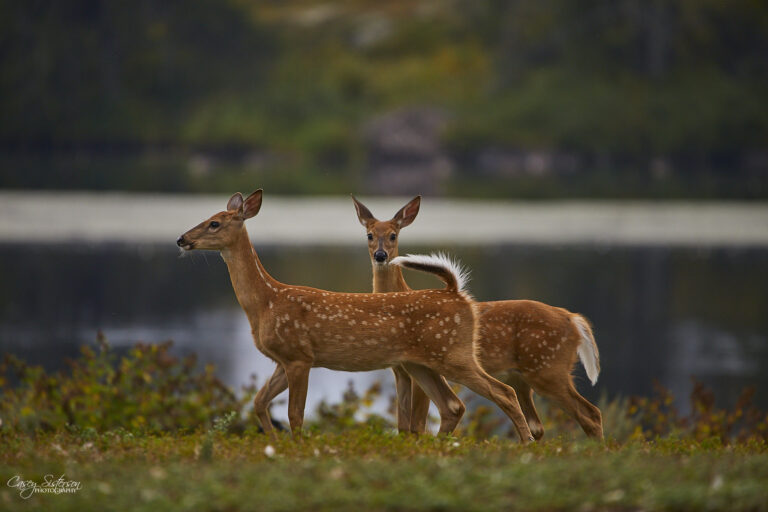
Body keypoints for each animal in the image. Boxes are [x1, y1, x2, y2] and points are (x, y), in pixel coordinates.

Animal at [176, 190, 535, 442]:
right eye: (207, 217)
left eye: (215, 223)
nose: (181, 239)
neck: (267, 301)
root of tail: (456, 292)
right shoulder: (283, 359)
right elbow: (259, 402)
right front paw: (275, 441)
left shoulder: (299, 356)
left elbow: (295, 415)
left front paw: (297, 448)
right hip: (420, 364)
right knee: (453, 405)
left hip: (454, 354)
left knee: (504, 392)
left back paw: (528, 444)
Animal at [351, 195, 604, 439]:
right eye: (369, 235)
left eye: (393, 235)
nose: (380, 255)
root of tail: (574, 319)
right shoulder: (400, 371)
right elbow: (404, 425)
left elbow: (417, 425)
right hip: (523, 378)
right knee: (539, 425)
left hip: (548, 368)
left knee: (591, 414)